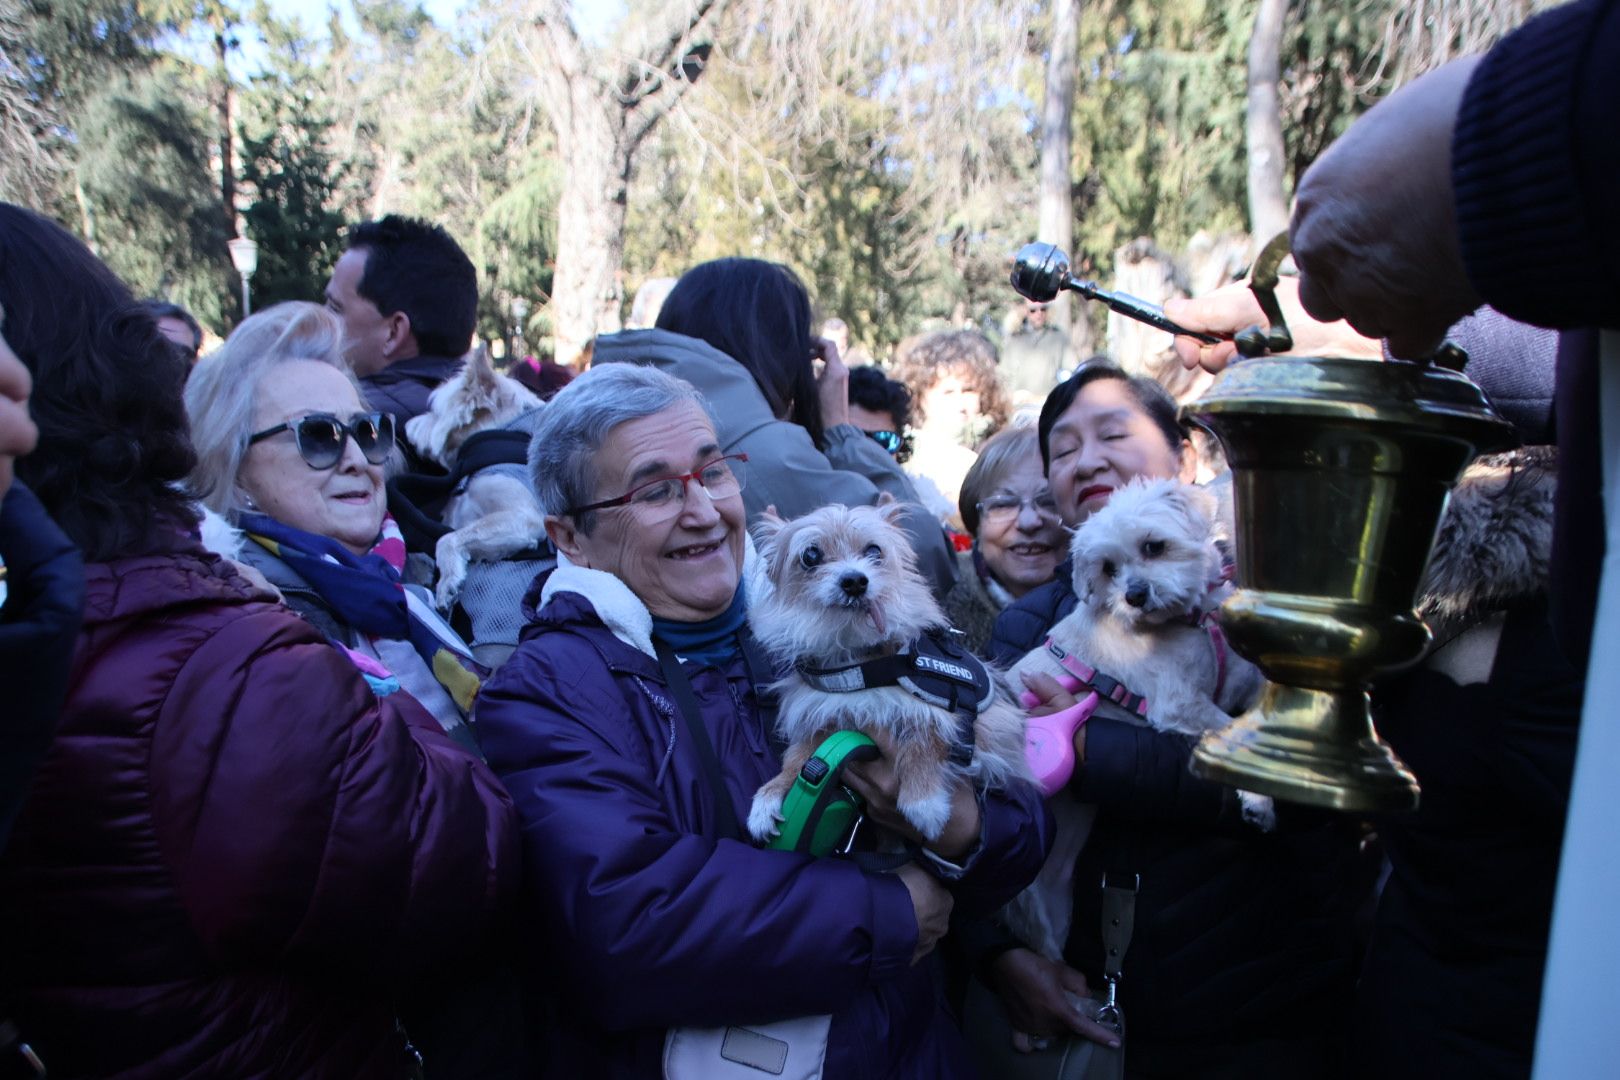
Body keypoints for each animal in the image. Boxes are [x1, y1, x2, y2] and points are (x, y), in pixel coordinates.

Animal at [741, 501, 1023, 848]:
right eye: (811, 556)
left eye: (874, 550)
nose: (854, 580)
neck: (861, 661)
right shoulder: (826, 717)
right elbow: (798, 757)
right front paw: (770, 795)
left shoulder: (974, 720)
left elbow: (925, 735)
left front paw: (923, 801)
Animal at [997, 482, 1276, 965]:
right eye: (1108, 568)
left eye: (1153, 546)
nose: (1136, 595)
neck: (1191, 623)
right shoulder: (1178, 704)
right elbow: (1228, 732)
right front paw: (1260, 800)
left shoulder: (1243, 683)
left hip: (1053, 900)